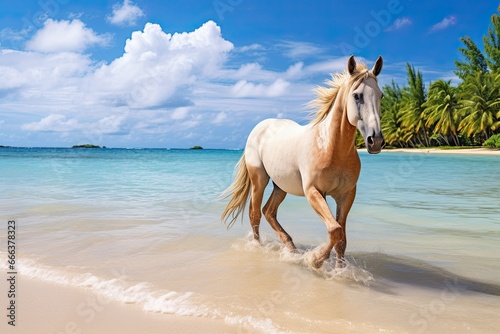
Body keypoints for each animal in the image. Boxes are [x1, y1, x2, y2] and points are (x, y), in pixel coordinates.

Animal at [221, 54, 384, 268]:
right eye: (357, 96)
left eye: (381, 95)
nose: (376, 141)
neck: (330, 148)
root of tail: (260, 126)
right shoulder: (314, 192)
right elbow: (334, 230)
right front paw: (314, 260)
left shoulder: (346, 195)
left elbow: (341, 238)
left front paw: (339, 271)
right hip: (259, 180)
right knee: (255, 213)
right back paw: (260, 247)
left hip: (280, 186)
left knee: (268, 211)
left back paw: (291, 247)